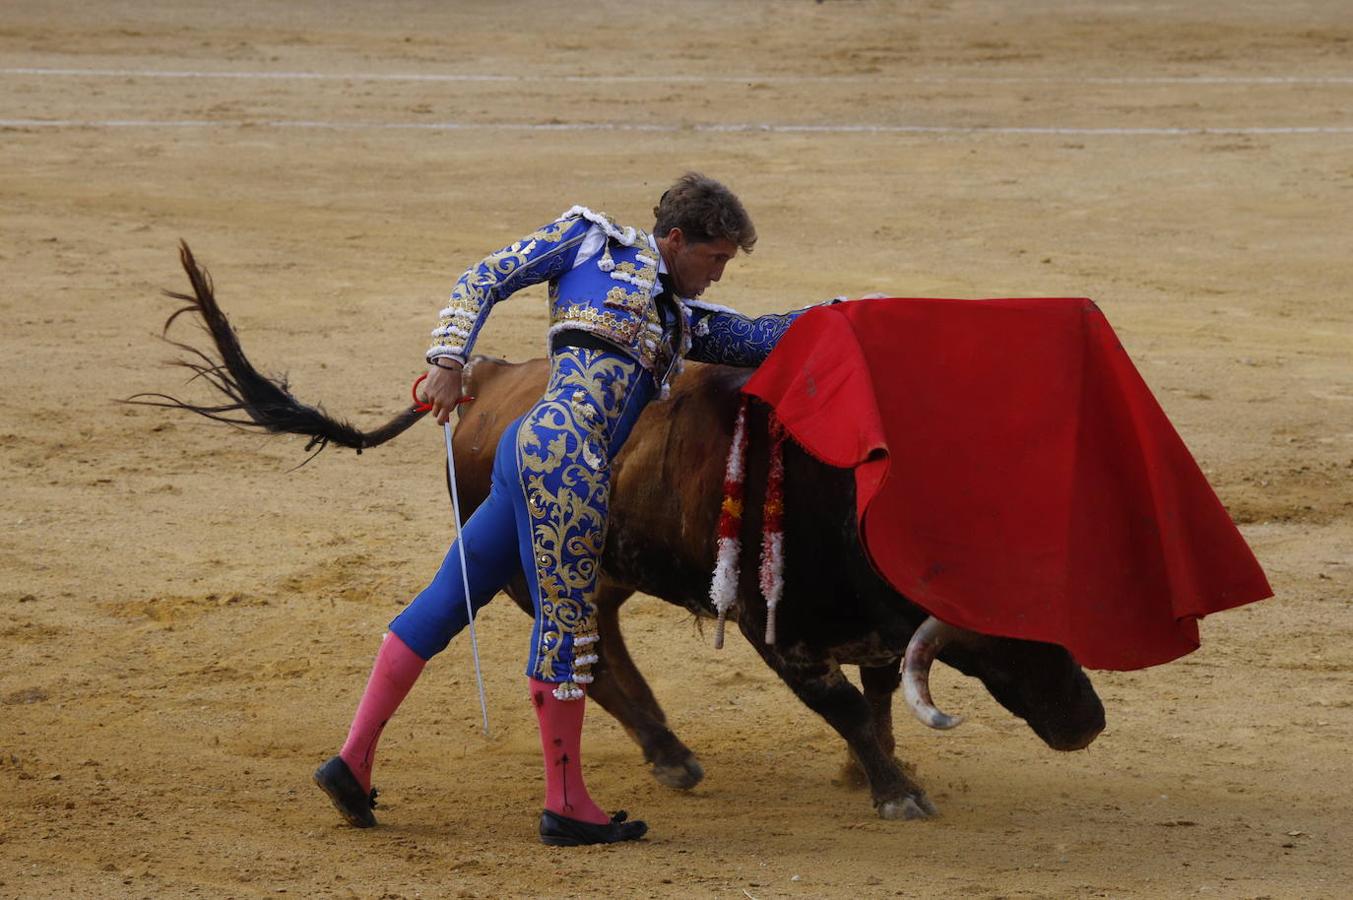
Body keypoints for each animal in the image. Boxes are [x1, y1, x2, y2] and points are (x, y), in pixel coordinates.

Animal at [137, 246, 1104, 822]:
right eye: (1016, 636)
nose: (1088, 724)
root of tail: (486, 375)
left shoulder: (869, 627)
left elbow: (875, 698)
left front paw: (874, 774)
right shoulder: (777, 633)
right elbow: (846, 709)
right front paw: (896, 793)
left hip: (596, 565)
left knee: (586, 648)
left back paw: (660, 753)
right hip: (531, 565)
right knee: (573, 658)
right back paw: (663, 758)